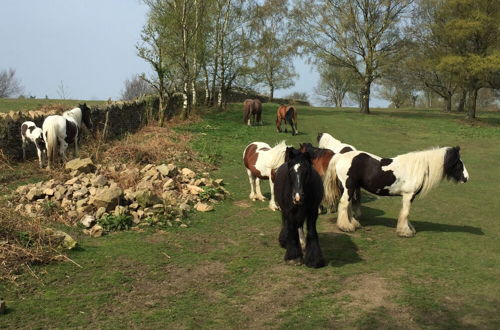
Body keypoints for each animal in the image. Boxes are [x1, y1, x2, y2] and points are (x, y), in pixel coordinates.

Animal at [324, 146, 468, 236]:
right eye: (459, 164)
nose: (466, 178)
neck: (418, 168)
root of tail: (340, 156)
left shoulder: (408, 196)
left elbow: (405, 212)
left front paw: (408, 229)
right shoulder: (408, 195)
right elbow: (406, 212)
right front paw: (405, 232)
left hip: (352, 188)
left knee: (348, 205)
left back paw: (353, 223)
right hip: (349, 187)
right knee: (344, 204)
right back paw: (346, 227)